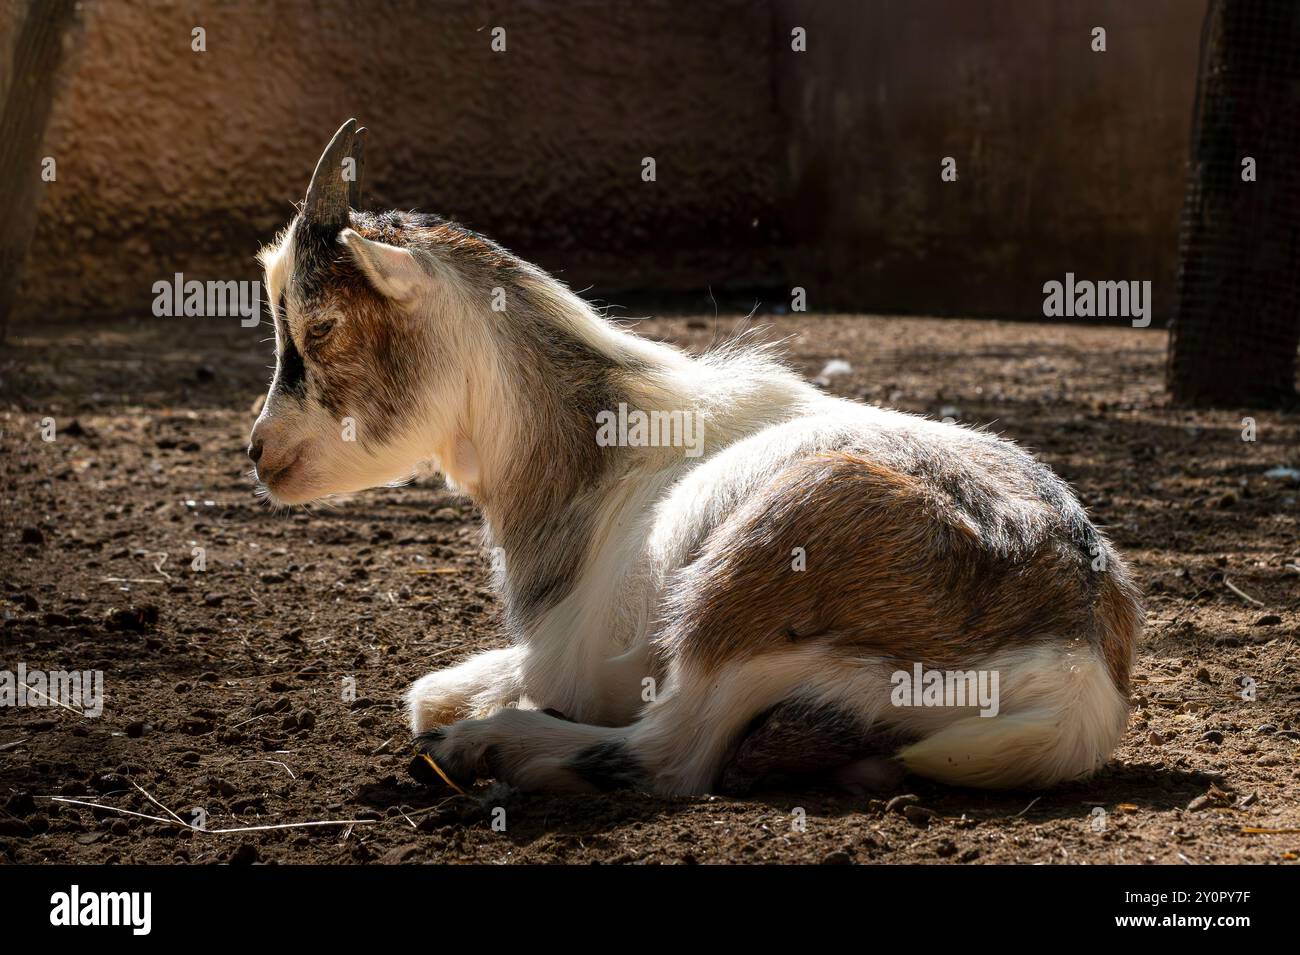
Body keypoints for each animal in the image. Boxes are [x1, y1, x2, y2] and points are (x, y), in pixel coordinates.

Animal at [245, 121, 1138, 800]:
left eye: (320, 325)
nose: (259, 451)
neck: (600, 454)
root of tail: (1077, 661)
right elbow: (427, 688)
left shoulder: (566, 665)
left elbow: (437, 697)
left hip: (760, 566)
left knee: (669, 752)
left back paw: (486, 749)